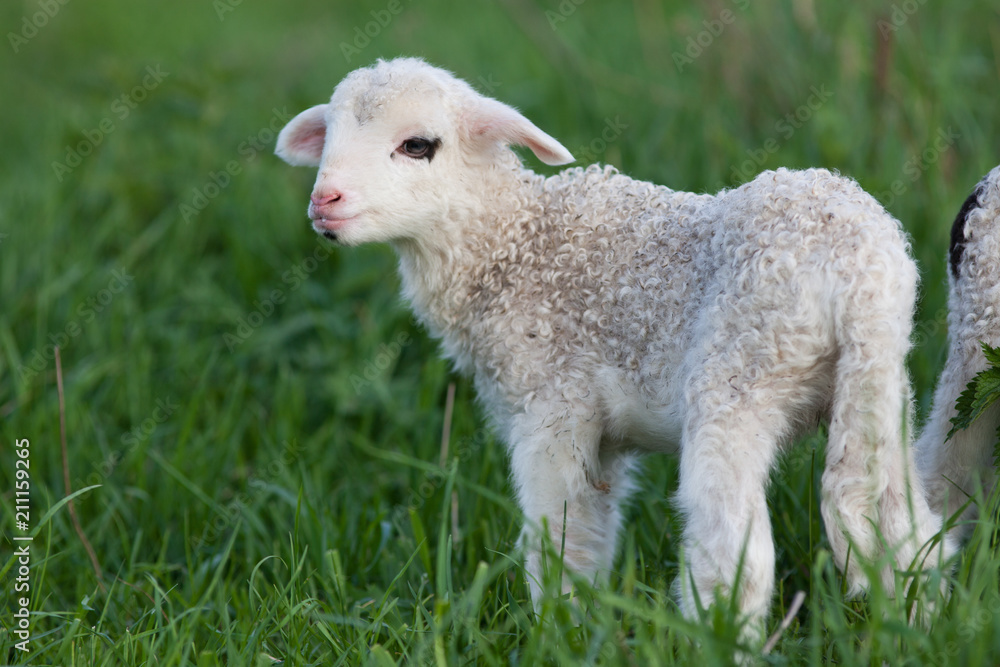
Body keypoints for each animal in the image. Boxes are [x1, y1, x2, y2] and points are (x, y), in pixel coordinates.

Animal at [274, 57, 952, 637]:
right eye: (328, 137)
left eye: (418, 145)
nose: (324, 201)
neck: (508, 247)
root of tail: (860, 273)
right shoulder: (603, 437)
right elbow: (593, 530)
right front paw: (583, 625)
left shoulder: (553, 406)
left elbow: (561, 533)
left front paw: (556, 629)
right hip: (880, 388)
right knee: (904, 524)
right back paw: (921, 626)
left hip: (741, 373)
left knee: (734, 545)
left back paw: (717, 637)